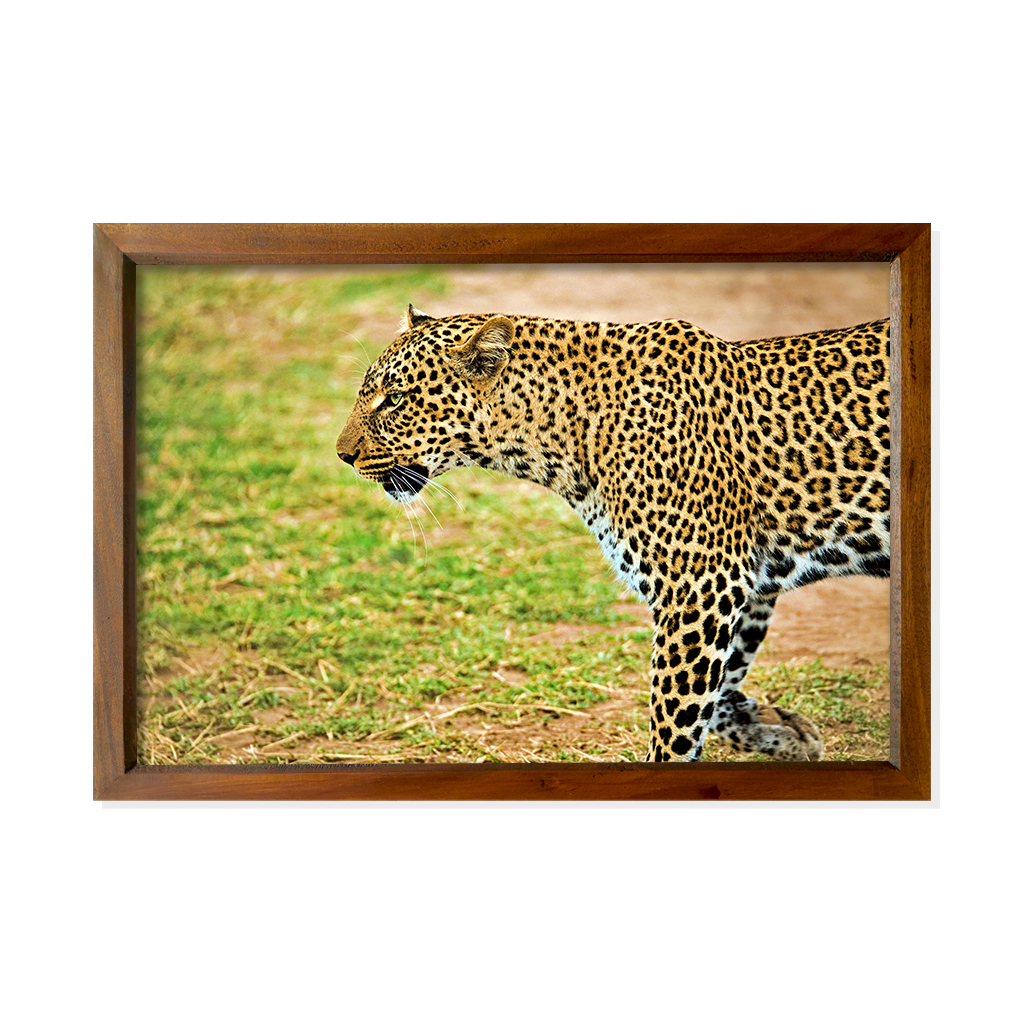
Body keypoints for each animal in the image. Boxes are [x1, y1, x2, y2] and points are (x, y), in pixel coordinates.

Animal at [336, 304, 890, 762]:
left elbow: (677, 715)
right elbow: (720, 690)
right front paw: (781, 730)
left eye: (395, 400)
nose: (342, 454)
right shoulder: (746, 583)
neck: (559, 439)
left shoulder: (699, 586)